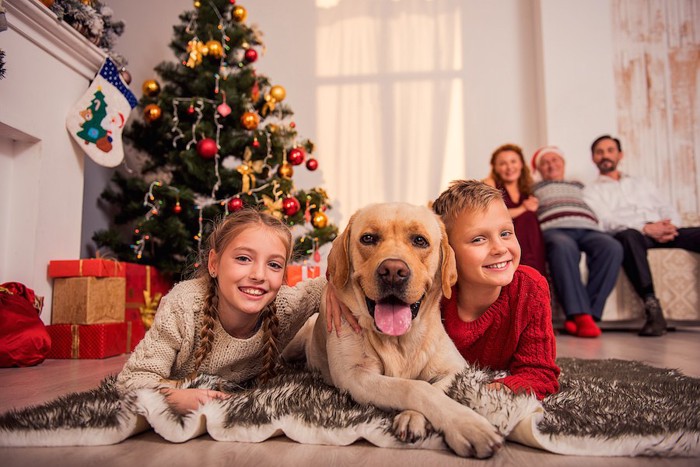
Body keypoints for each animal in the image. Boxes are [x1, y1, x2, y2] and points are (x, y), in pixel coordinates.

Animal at [284, 203, 504, 458]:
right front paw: (468, 425)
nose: (393, 271)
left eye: (420, 240)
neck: (400, 341)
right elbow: (415, 387)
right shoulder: (356, 375)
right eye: (368, 238)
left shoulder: (457, 369)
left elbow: (435, 387)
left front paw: (414, 418)